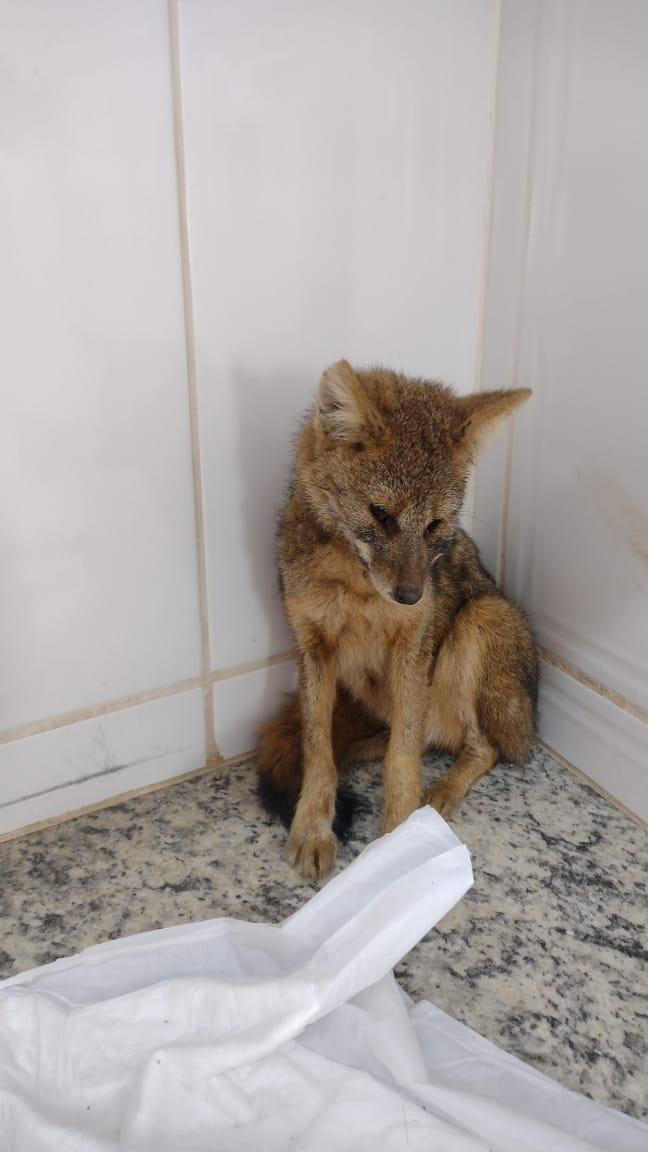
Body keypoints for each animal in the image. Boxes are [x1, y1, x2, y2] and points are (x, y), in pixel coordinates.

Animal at [257, 361, 538, 880]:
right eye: (381, 515)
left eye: (436, 525)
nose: (412, 596)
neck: (357, 591)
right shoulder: (312, 649)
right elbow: (317, 751)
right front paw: (312, 829)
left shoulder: (412, 647)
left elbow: (404, 758)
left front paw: (401, 841)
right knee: (420, 738)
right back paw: (364, 748)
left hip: (478, 620)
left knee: (481, 746)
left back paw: (442, 791)